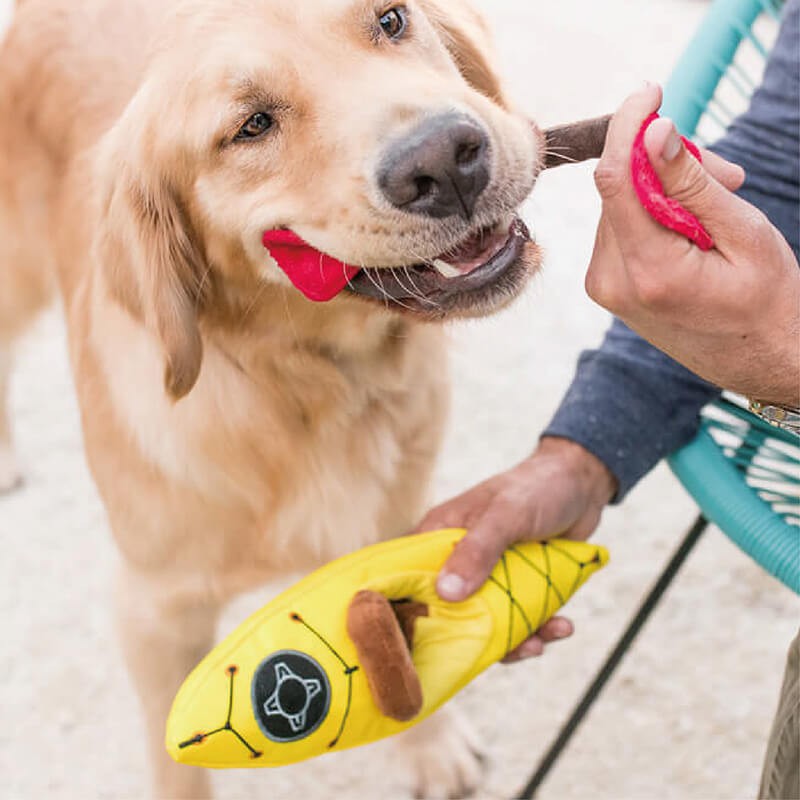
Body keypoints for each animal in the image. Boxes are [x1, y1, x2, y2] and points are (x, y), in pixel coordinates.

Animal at [0, 0, 543, 796]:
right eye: (251, 125)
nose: (445, 160)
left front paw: (430, 745)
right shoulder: (152, 613)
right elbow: (175, 763)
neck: (309, 388)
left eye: (391, 20)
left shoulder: (388, 531)